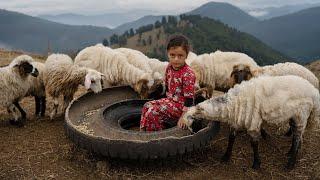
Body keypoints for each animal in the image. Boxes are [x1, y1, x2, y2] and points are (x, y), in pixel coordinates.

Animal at [180, 75, 320, 171]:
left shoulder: (253, 122)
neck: (231, 103)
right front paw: (226, 156)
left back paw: (290, 164)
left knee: (297, 137)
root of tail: (313, 91)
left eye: (193, 120)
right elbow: (231, 139)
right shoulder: (236, 121)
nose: (193, 133)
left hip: (301, 115)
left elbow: (254, 143)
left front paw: (256, 164)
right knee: (298, 136)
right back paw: (290, 153)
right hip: (294, 116)